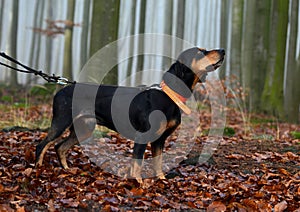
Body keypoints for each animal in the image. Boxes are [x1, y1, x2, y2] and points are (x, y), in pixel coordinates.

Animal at [35, 47, 225, 181]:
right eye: (200, 52)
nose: (223, 50)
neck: (169, 95)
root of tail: (60, 90)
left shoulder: (159, 139)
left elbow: (158, 163)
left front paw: (161, 180)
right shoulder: (142, 137)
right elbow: (137, 164)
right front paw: (139, 183)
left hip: (84, 128)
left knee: (60, 147)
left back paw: (67, 170)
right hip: (61, 121)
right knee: (42, 145)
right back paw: (37, 169)